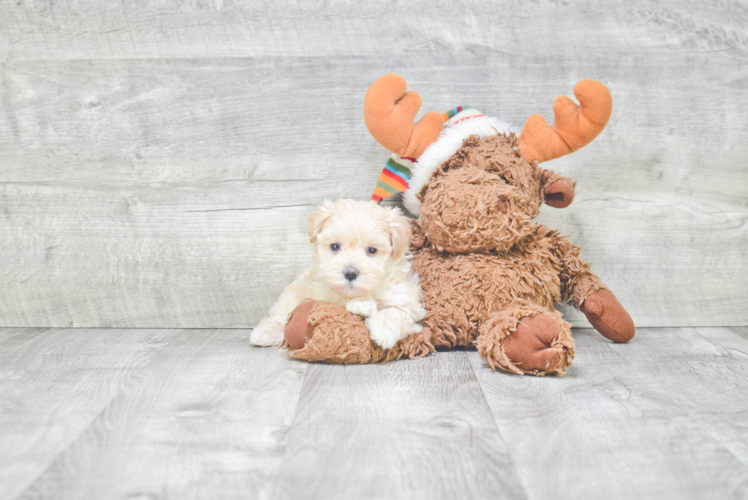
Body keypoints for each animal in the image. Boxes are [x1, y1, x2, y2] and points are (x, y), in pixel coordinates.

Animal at [251, 198, 426, 348]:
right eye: (335, 247)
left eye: (372, 250)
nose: (350, 273)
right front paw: (363, 305)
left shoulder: (406, 299)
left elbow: (397, 311)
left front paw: (383, 330)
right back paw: (266, 332)